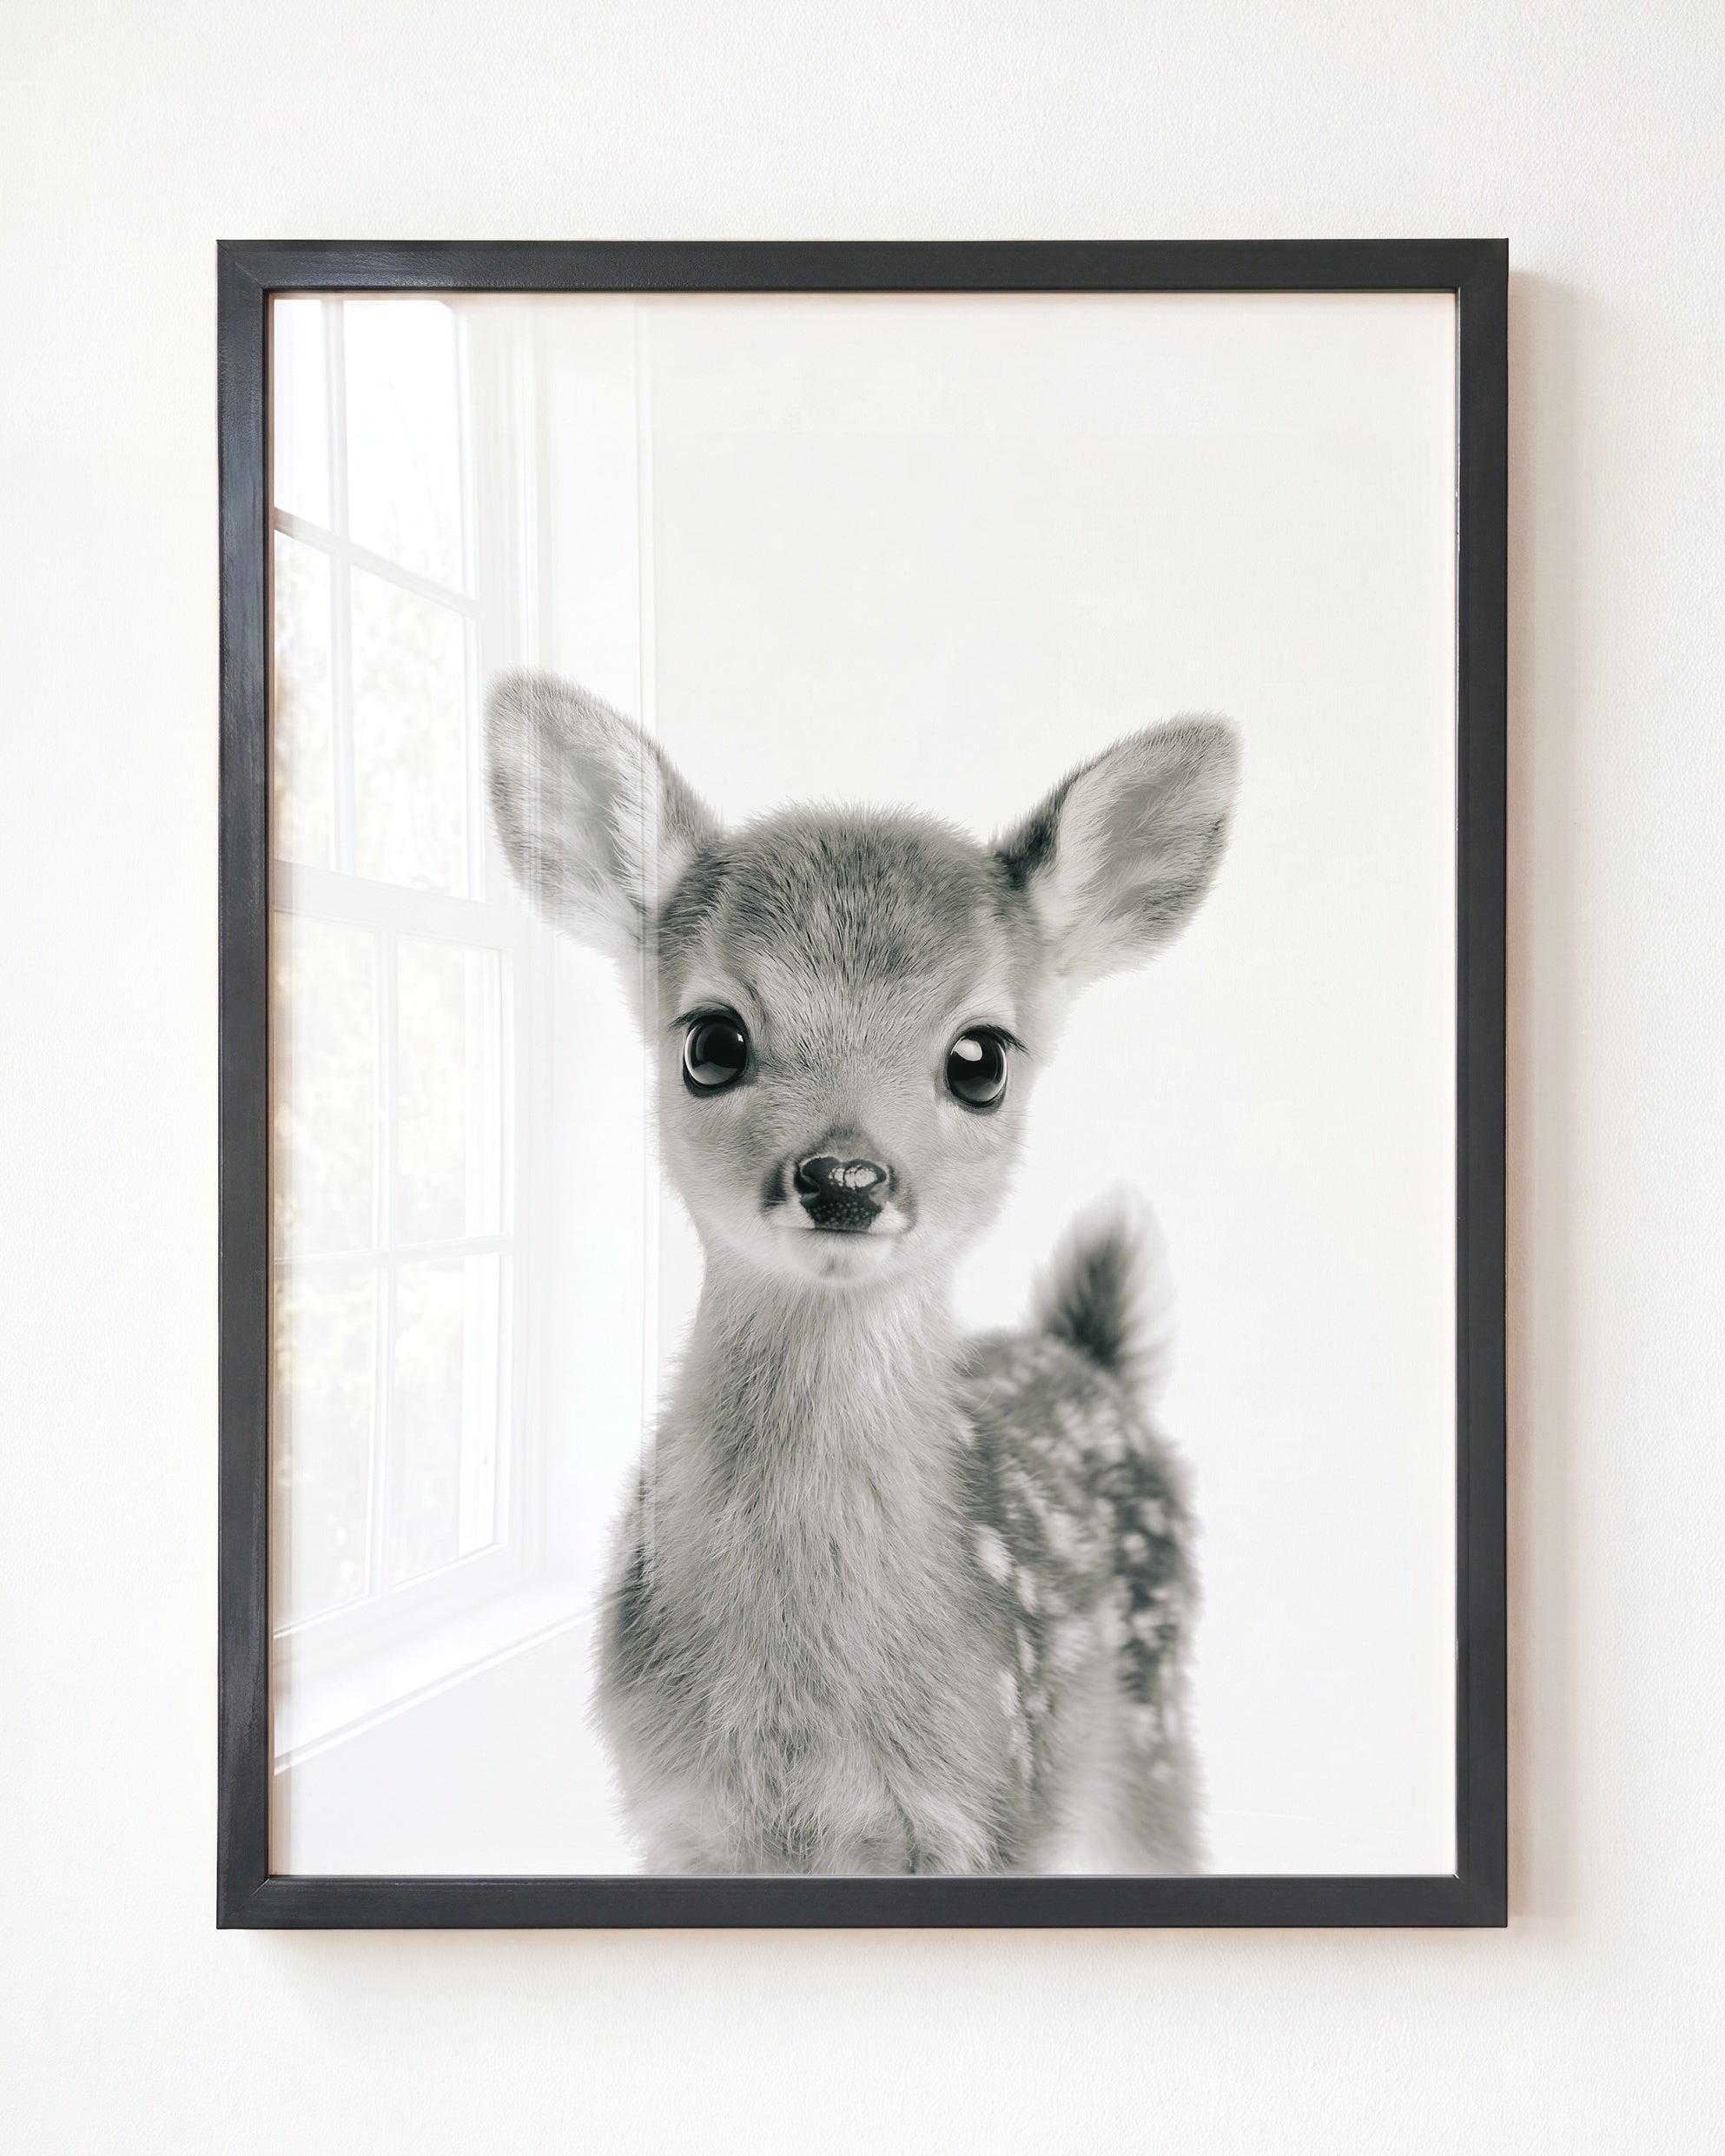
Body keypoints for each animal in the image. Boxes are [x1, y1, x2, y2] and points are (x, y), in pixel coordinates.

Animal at [486, 671, 1238, 1875]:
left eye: (981, 1058)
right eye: (711, 1041)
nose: (843, 1177)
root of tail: (1089, 1358)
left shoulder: (991, 1803)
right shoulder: (678, 1816)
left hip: (1149, 1726)